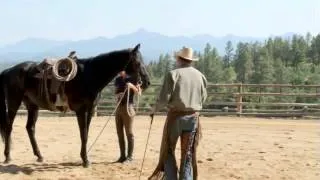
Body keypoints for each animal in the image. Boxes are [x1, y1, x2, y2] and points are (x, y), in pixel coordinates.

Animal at [0, 43, 151, 167]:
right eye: (137, 62)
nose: (147, 82)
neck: (89, 75)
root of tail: (8, 71)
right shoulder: (80, 110)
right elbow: (83, 134)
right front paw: (85, 160)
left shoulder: (90, 110)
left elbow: (86, 133)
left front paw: (85, 157)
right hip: (14, 102)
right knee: (9, 127)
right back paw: (8, 157)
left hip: (32, 105)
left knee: (30, 128)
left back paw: (39, 156)